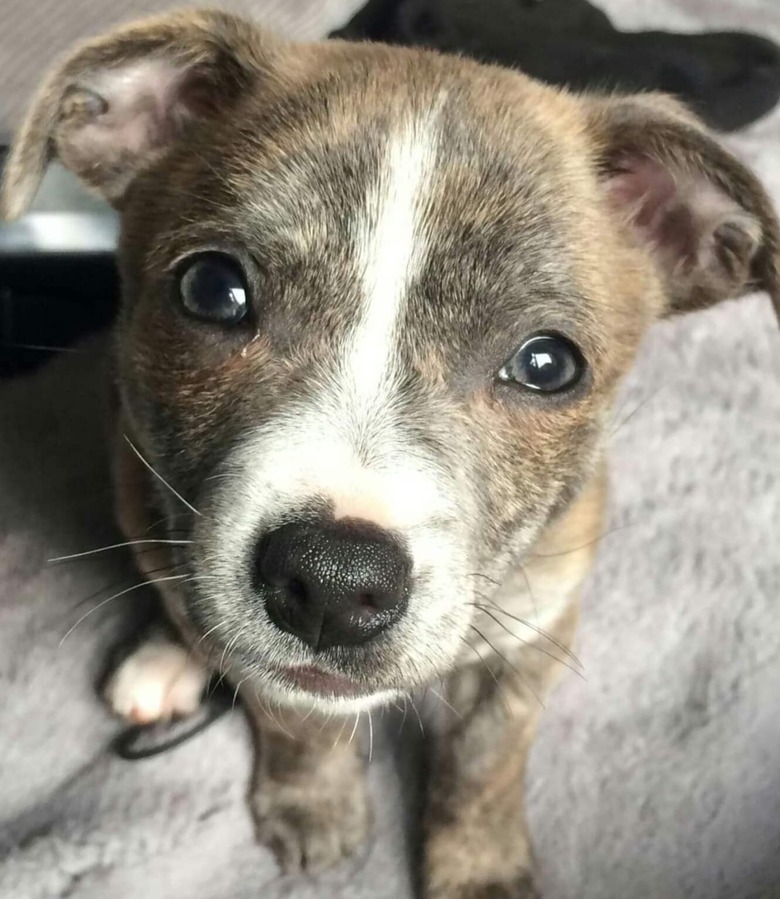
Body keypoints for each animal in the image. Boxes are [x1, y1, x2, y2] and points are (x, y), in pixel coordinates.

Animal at [3, 8, 776, 899]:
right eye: (212, 290)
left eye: (548, 364)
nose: (335, 583)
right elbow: (294, 721)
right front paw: (314, 806)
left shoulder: (535, 631)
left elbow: (485, 760)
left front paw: (478, 866)